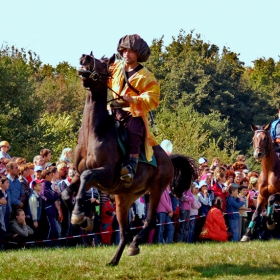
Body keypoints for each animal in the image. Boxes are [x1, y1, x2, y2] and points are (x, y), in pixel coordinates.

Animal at [61, 53, 197, 266]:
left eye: (103, 63)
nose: (85, 58)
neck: (95, 133)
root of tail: (168, 160)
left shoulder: (105, 175)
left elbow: (86, 177)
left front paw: (78, 215)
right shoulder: (81, 175)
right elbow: (67, 192)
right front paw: (83, 218)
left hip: (156, 189)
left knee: (150, 222)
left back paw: (135, 245)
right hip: (124, 198)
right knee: (125, 232)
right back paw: (114, 260)